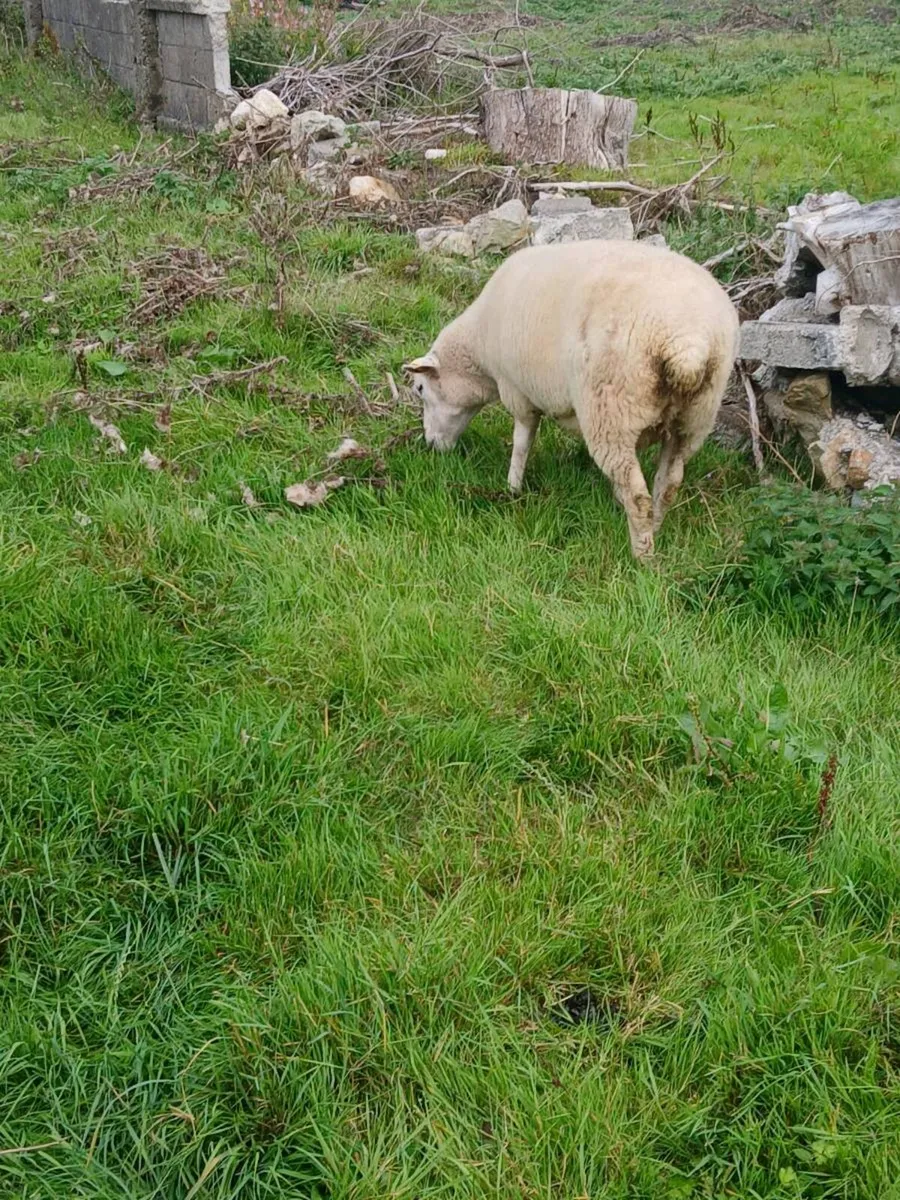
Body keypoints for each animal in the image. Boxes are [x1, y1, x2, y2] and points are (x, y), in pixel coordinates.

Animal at [404, 240, 739, 560]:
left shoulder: (518, 392)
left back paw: (642, 555)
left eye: (420, 389)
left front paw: (512, 489)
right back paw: (655, 530)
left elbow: (522, 443)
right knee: (668, 482)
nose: (429, 444)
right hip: (694, 419)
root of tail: (688, 345)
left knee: (638, 495)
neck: (479, 349)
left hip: (611, 413)